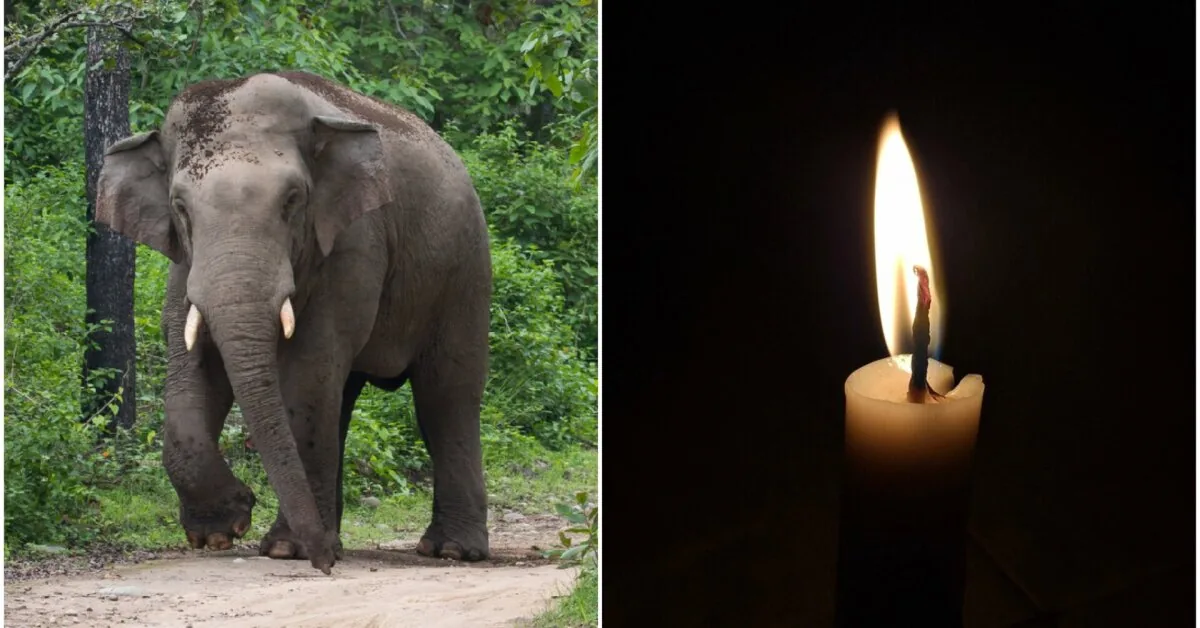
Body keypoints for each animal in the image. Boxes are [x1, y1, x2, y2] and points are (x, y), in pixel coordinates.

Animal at [95, 71, 492, 574]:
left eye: (292, 200)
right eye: (180, 207)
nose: (325, 566)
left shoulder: (353, 240)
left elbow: (308, 368)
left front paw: (287, 548)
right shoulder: (185, 262)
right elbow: (192, 365)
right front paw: (223, 530)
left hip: (464, 271)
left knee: (446, 396)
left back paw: (453, 551)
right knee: (343, 399)